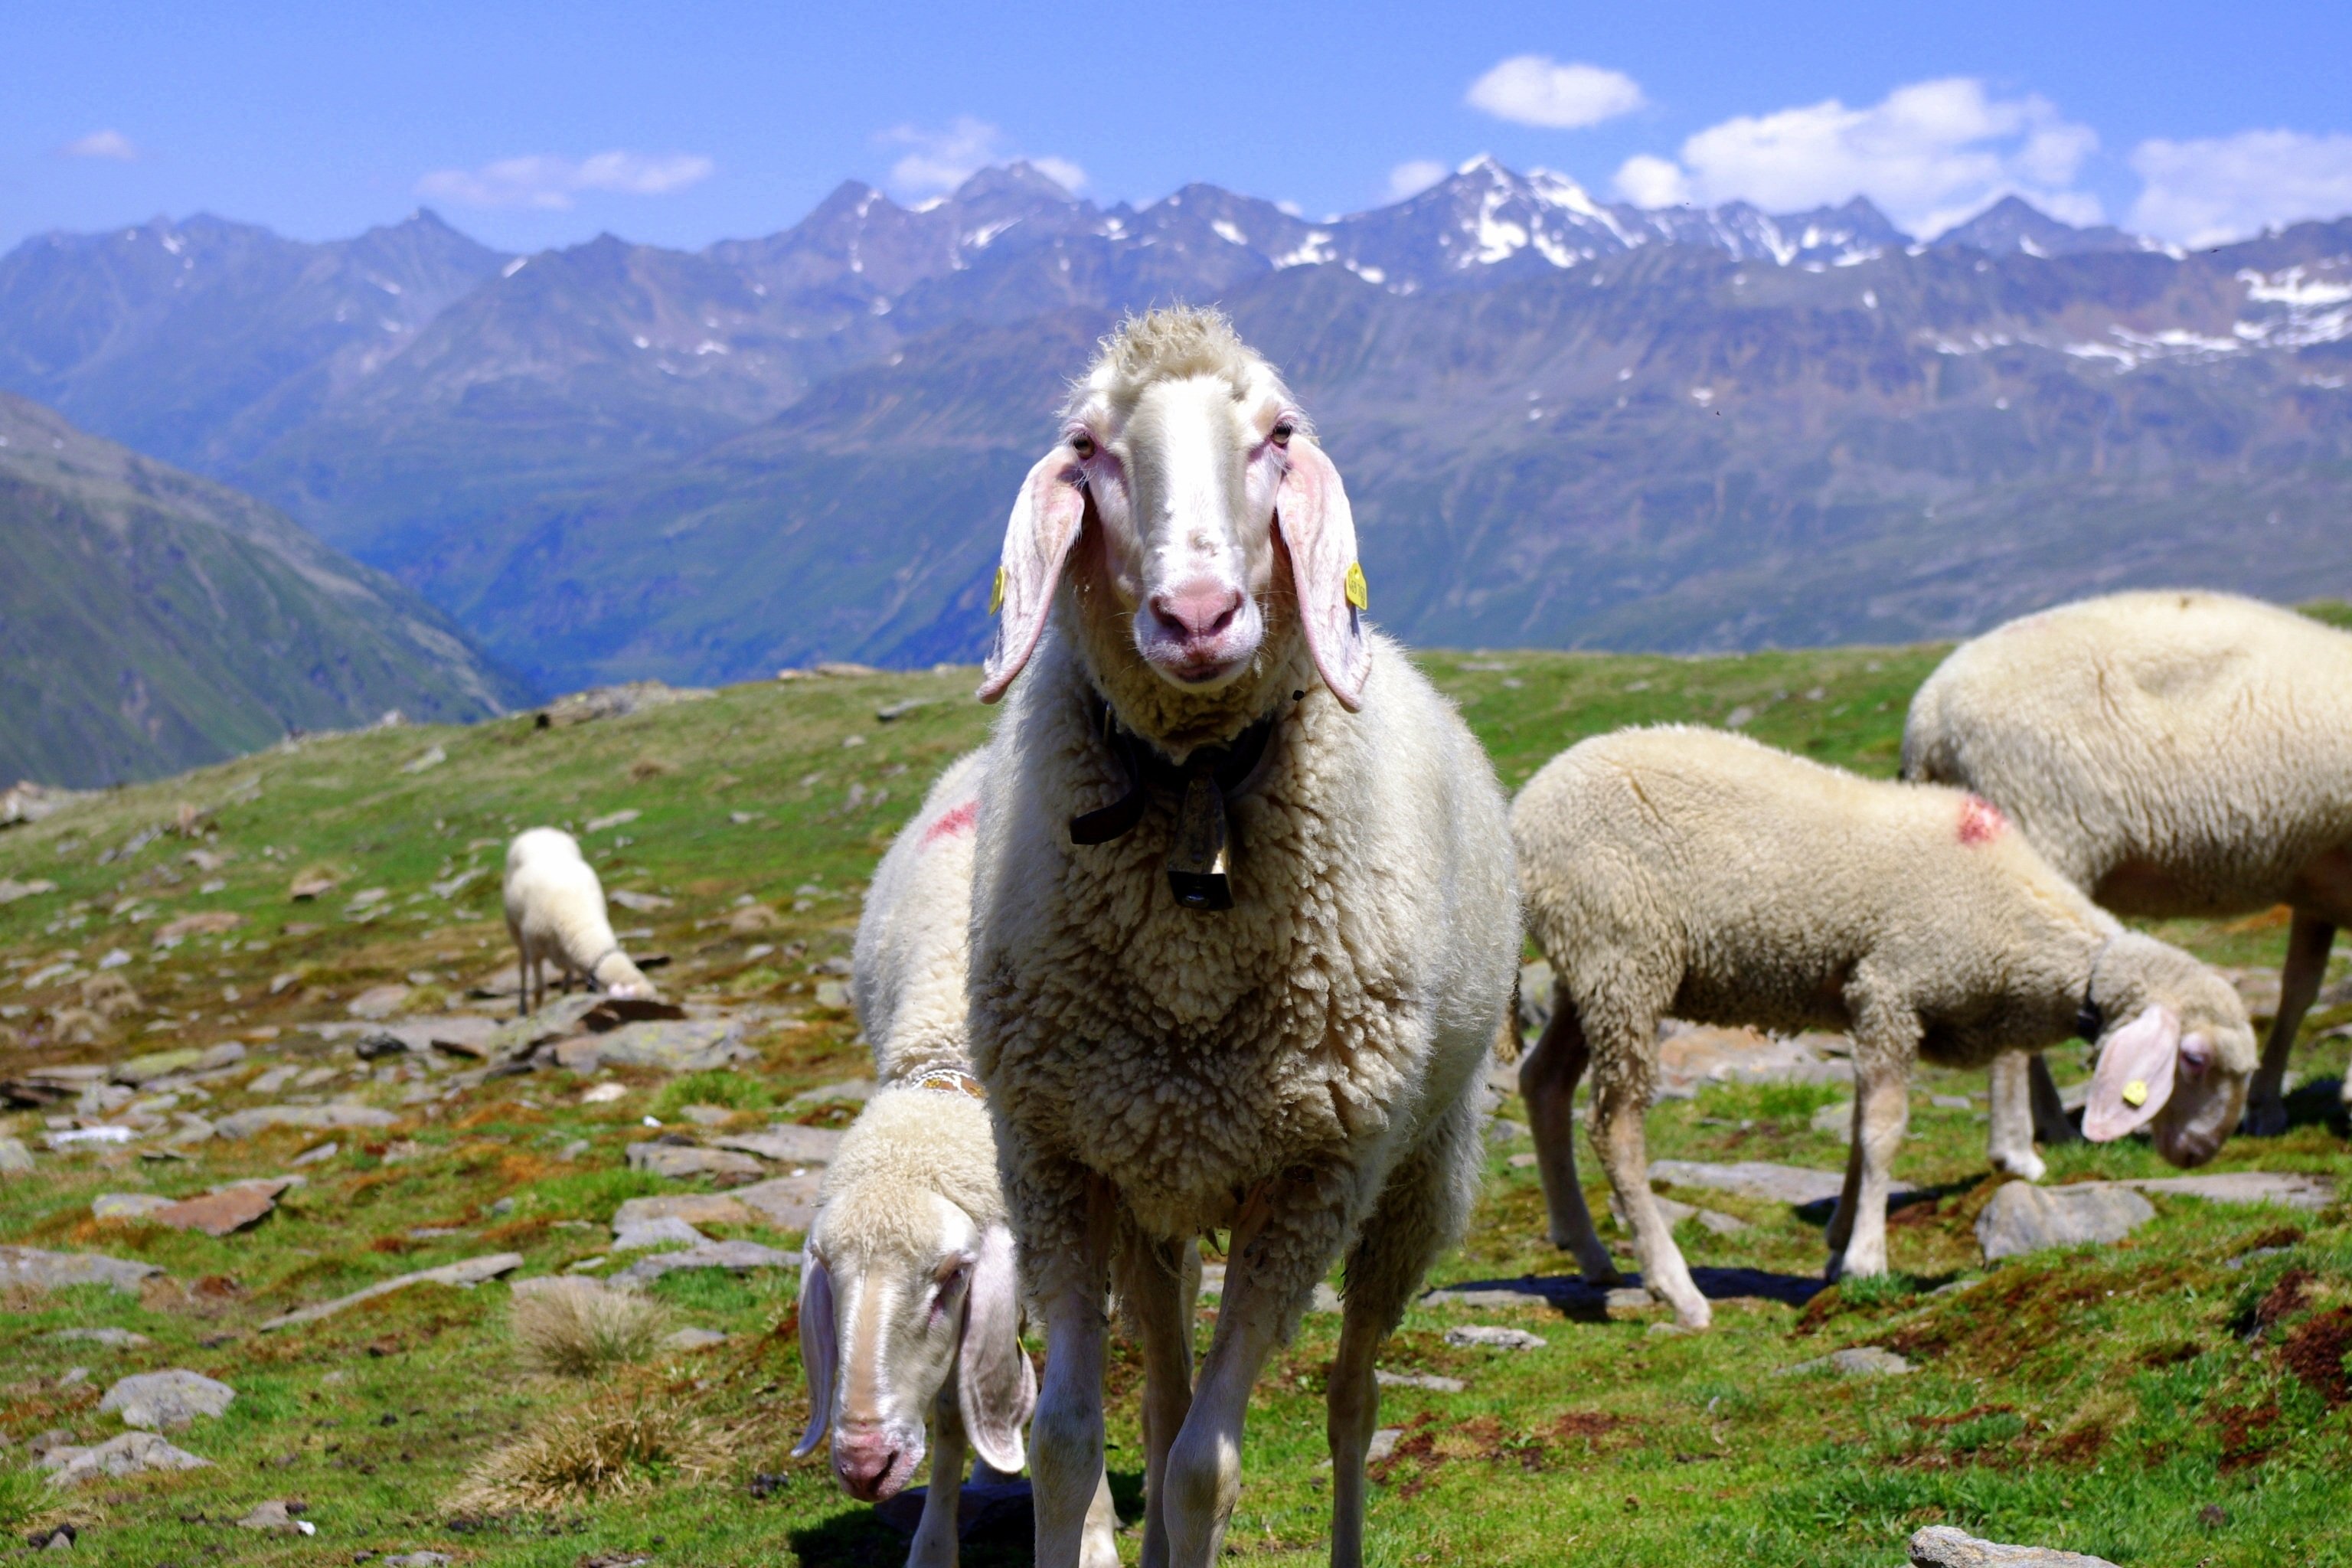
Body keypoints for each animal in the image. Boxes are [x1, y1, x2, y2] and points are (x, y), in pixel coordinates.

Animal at [501, 827, 658, 1024]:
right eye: (636, 1008)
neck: (581, 921)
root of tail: (539, 830)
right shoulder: (536, 949)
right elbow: (539, 990)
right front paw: (537, 1015)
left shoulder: (571, 954)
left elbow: (567, 985)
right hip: (515, 928)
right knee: (522, 967)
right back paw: (522, 1008)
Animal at [795, 752, 1115, 1568]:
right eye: (828, 1275)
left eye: (951, 1277)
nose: (865, 1466)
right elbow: (947, 1413)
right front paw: (933, 1542)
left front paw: (1095, 1535)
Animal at [964, 310, 1514, 1568]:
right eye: (1087, 448)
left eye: (1278, 435)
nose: (1200, 617)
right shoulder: (1055, 1156)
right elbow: (1068, 1438)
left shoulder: (1311, 1181)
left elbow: (1205, 1466)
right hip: (1154, 1181)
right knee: (1162, 1395)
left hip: (1412, 1180)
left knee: (1352, 1395)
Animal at [1505, 728, 2258, 1335]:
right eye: (2193, 1060)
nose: (2200, 1152)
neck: (2015, 919)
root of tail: (1526, 810)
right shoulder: (1891, 989)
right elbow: (1884, 1130)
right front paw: (1868, 1258)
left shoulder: (1866, 1008)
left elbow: (1860, 1126)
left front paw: (1841, 1241)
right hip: (1624, 953)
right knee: (1614, 1125)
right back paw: (1675, 1286)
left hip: (1589, 971)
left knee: (1543, 1081)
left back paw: (1589, 1252)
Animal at [1900, 587, 2352, 1142]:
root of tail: (1927, 718)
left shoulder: (2319, 885)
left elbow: (2298, 992)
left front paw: (2266, 1106)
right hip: (2040, 836)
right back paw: (2054, 1124)